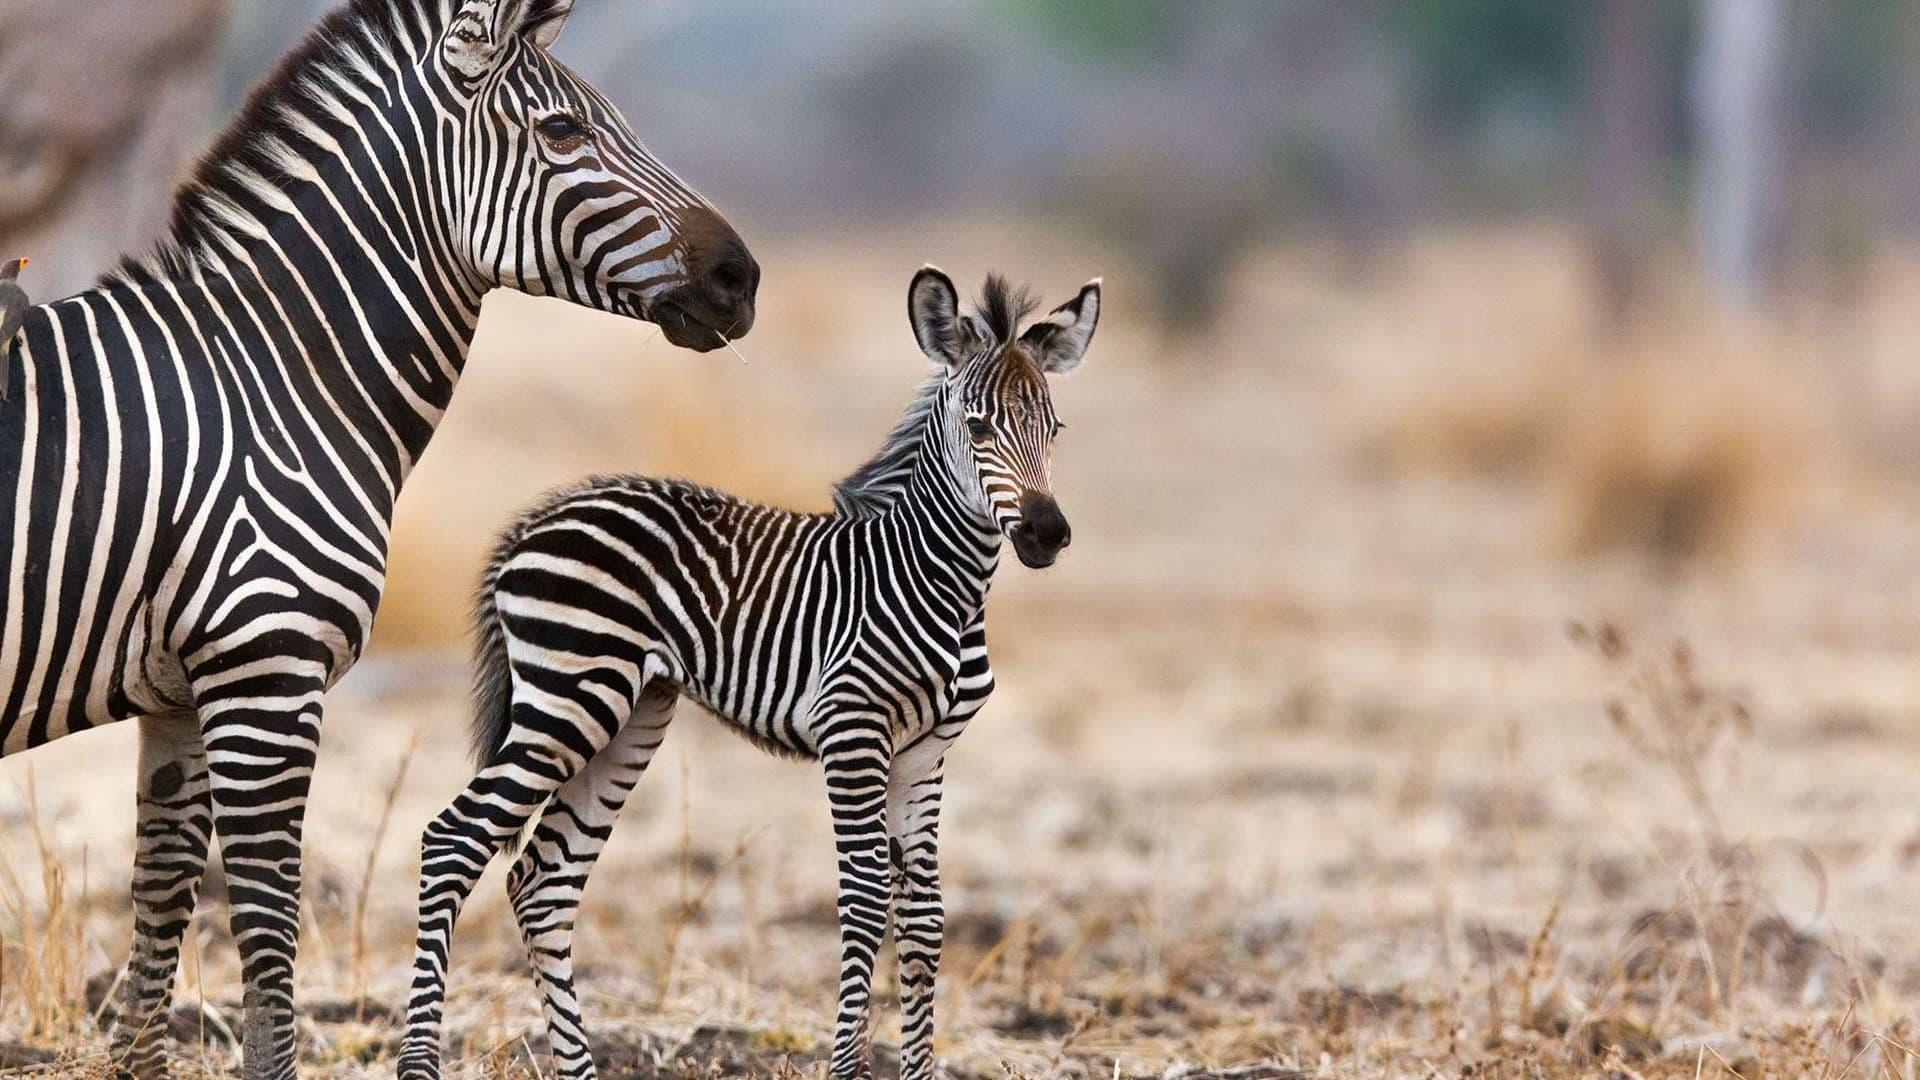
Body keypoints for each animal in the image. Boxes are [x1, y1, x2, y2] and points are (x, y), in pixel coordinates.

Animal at [0, 4, 756, 1068]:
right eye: (563, 131)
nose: (742, 277)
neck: (270, 382)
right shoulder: (268, 677)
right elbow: (268, 937)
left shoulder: (182, 695)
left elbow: (160, 918)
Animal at [399, 269, 1105, 1076]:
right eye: (980, 428)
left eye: (1055, 430)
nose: (1047, 535)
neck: (934, 581)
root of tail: (537, 519)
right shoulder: (852, 733)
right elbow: (865, 899)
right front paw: (845, 1067)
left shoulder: (926, 752)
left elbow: (925, 919)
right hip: (568, 699)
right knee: (453, 840)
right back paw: (419, 1061)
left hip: (631, 715)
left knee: (542, 880)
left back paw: (578, 1064)